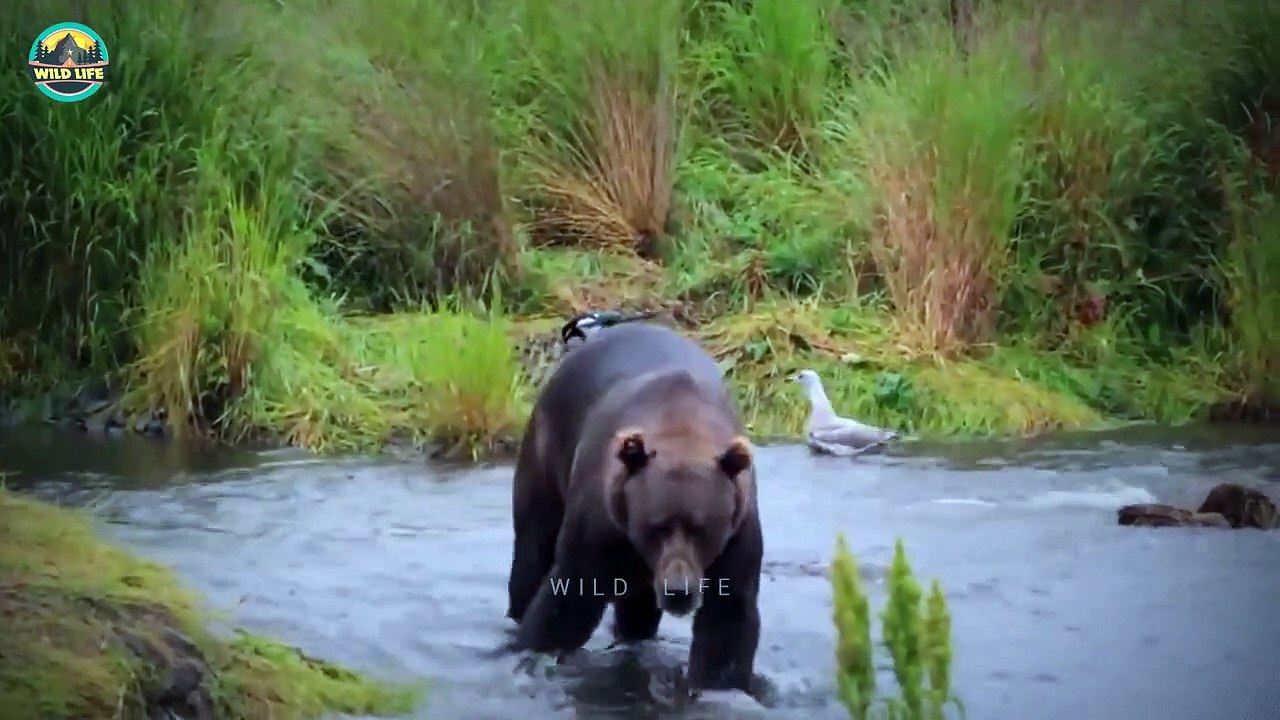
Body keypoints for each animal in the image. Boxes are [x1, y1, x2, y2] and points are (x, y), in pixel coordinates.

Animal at [505, 322, 764, 697]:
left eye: (702, 530)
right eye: (656, 526)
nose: (679, 591)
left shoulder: (738, 535)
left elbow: (726, 621)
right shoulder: (599, 528)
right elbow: (567, 603)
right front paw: (533, 649)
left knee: (637, 609)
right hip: (546, 459)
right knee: (532, 549)